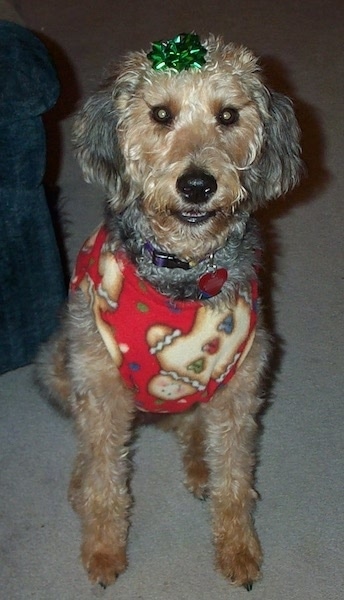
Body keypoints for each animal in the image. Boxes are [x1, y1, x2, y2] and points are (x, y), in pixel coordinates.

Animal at [36, 34, 302, 592]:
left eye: (228, 115)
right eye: (161, 114)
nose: (197, 185)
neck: (184, 278)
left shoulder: (242, 386)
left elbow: (234, 480)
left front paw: (238, 548)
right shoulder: (101, 388)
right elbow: (106, 481)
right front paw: (103, 550)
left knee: (194, 430)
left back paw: (200, 466)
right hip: (55, 362)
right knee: (89, 449)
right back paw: (80, 481)